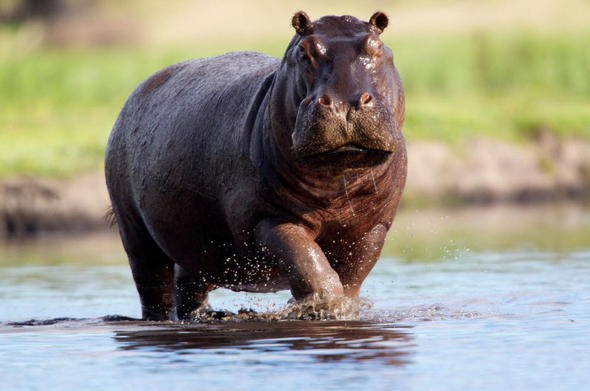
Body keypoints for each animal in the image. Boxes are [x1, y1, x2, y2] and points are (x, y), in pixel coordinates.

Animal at [105, 11, 408, 322]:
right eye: (304, 51)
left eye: (378, 47)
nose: (343, 104)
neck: (337, 181)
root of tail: (137, 91)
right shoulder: (267, 220)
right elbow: (306, 260)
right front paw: (323, 306)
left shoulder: (373, 228)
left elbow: (350, 277)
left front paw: (339, 309)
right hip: (135, 232)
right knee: (153, 285)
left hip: (198, 242)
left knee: (189, 281)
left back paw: (207, 316)